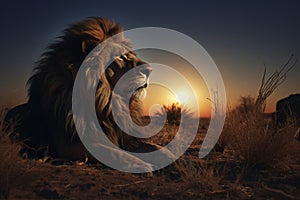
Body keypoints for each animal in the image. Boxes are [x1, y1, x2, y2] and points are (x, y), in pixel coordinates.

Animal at [5, 17, 173, 170]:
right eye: (119, 57)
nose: (150, 70)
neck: (107, 104)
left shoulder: (125, 137)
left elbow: (153, 145)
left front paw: (173, 158)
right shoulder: (72, 147)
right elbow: (112, 152)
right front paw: (139, 164)